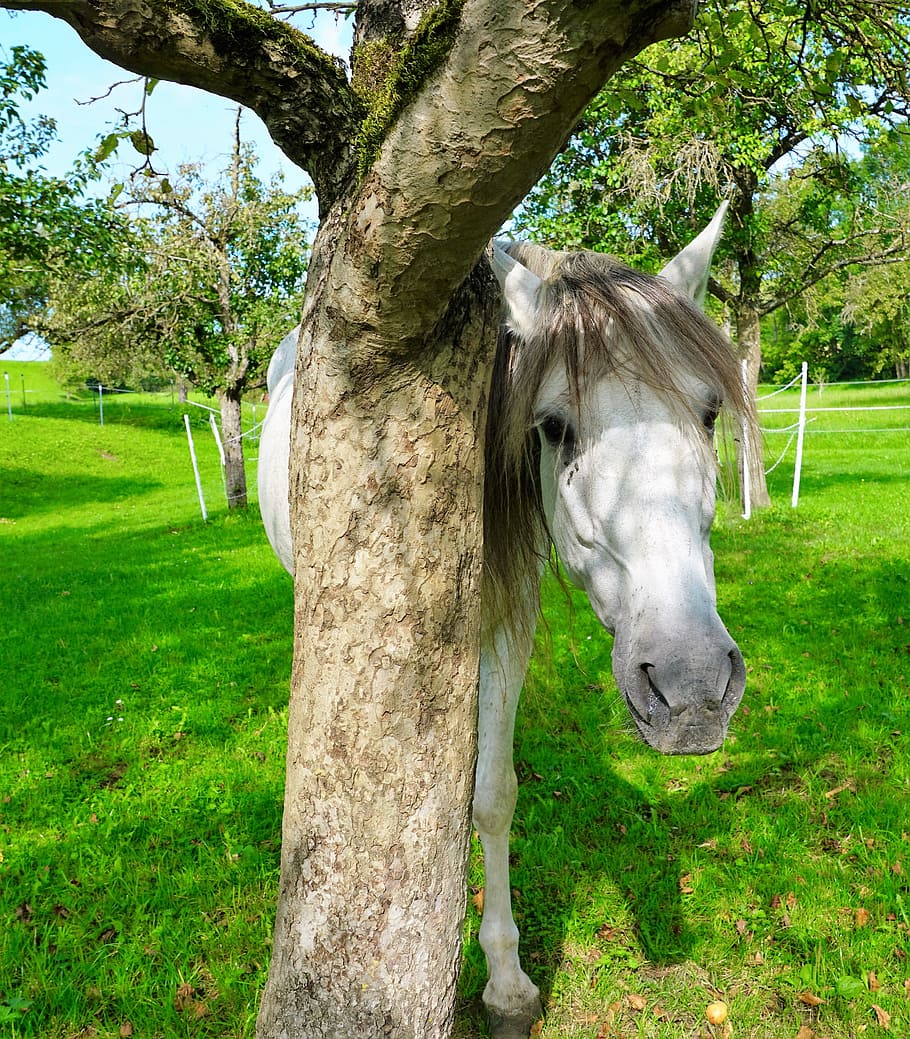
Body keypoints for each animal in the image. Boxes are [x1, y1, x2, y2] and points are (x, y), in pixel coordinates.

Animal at [255, 204, 747, 1039]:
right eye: (553, 426)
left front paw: (506, 983)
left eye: (708, 411)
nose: (692, 689)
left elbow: (492, 794)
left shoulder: (508, 624)